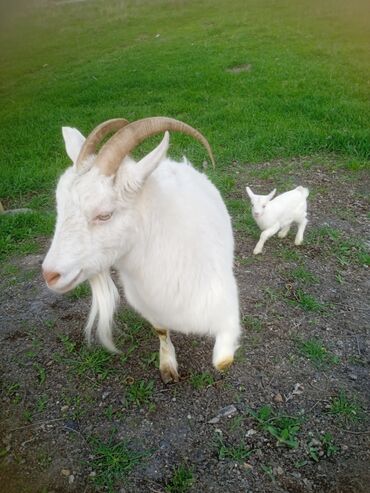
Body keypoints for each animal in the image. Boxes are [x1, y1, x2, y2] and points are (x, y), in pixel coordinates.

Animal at [42, 117, 240, 382]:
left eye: (105, 215)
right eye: (60, 207)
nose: (50, 274)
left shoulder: (226, 307)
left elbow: (222, 362)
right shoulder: (149, 306)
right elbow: (161, 330)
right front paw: (168, 367)